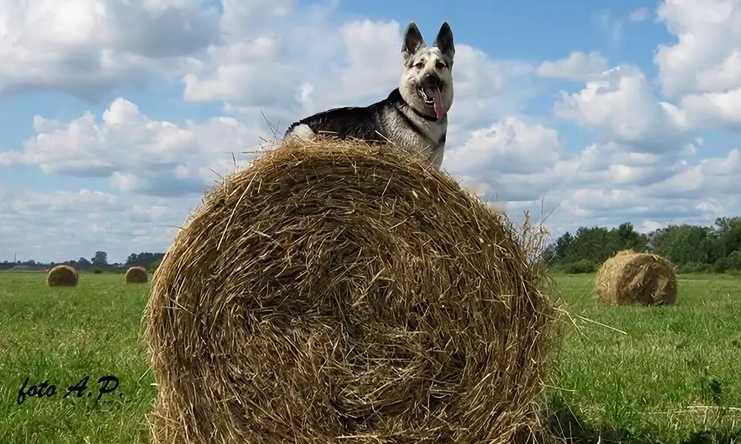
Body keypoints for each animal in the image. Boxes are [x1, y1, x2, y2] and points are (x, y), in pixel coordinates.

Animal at [286, 20, 454, 170]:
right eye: (419, 65)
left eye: (440, 65)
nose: (431, 78)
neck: (420, 115)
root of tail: (294, 125)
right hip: (305, 132)